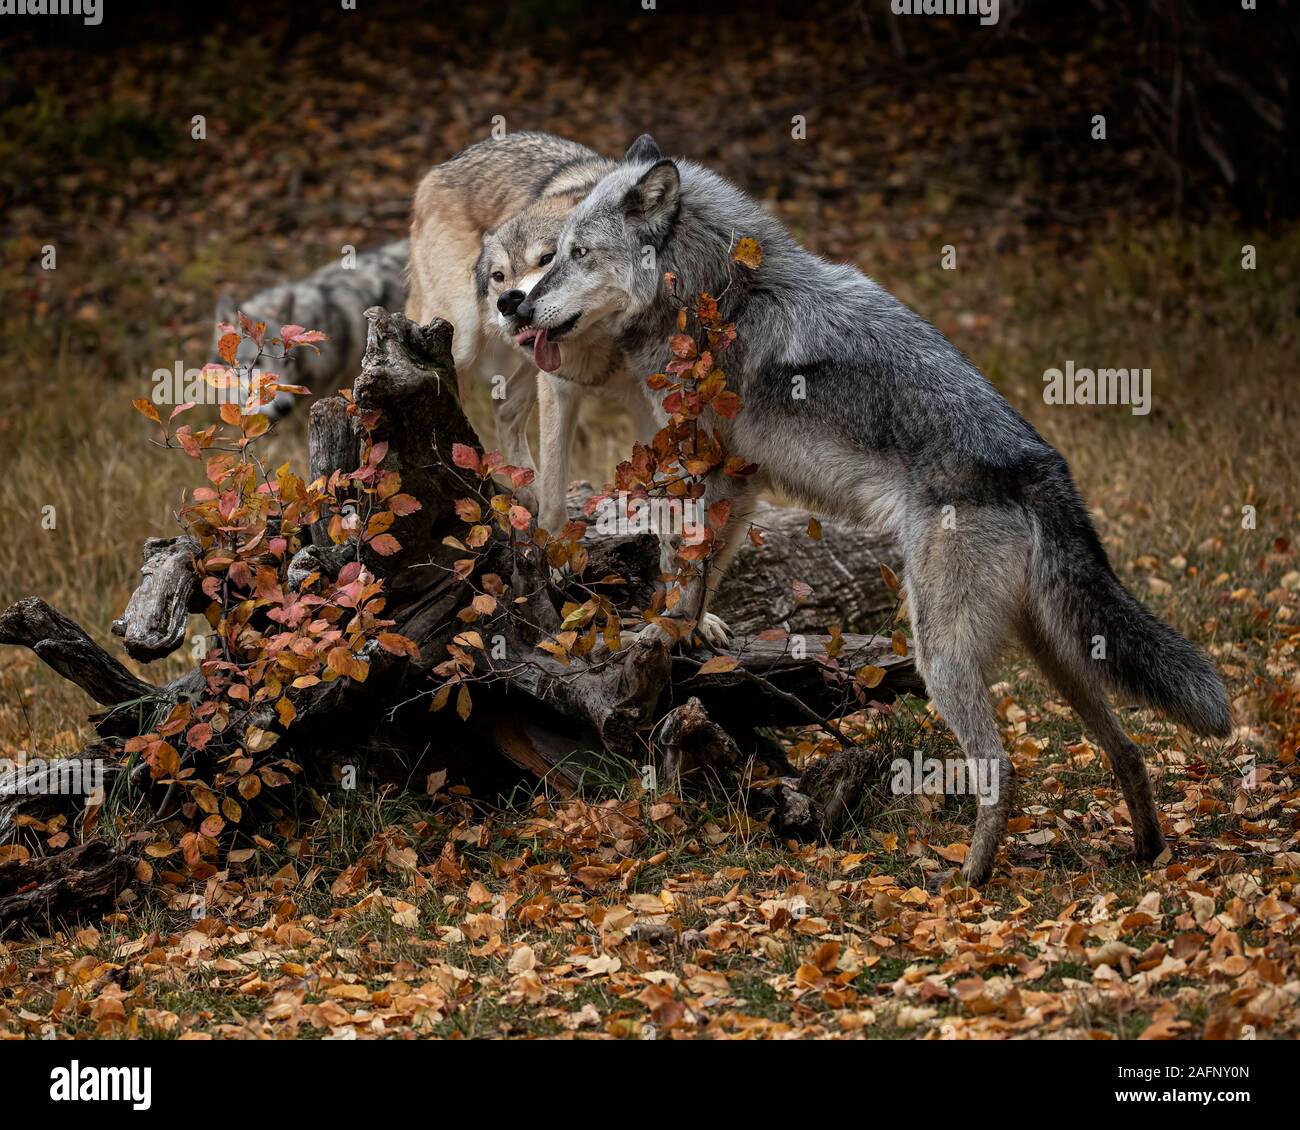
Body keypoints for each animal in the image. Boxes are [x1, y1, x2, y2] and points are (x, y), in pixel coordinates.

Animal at [506, 154, 1227, 884]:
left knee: (1000, 767)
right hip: (1060, 656)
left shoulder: (718, 466)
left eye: (576, 254)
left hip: (942, 654)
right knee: (1128, 748)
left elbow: (684, 560)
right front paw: (698, 627)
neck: (721, 291)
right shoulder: (740, 476)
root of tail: (1040, 462)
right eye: (555, 252)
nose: (518, 305)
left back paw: (967, 882)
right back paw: (1147, 853)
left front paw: (668, 627)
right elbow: (703, 561)